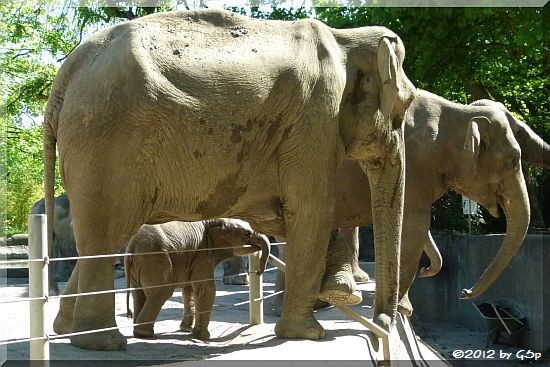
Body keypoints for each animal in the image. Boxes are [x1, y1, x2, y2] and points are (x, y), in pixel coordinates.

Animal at [125, 218, 272, 342]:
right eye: (248, 233)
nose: (258, 272)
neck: (213, 220)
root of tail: (131, 245)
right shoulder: (202, 255)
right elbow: (206, 289)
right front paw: (202, 337)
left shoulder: (193, 256)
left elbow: (189, 290)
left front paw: (186, 330)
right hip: (155, 260)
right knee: (161, 293)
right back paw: (144, 334)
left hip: (140, 265)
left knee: (138, 294)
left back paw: (138, 331)